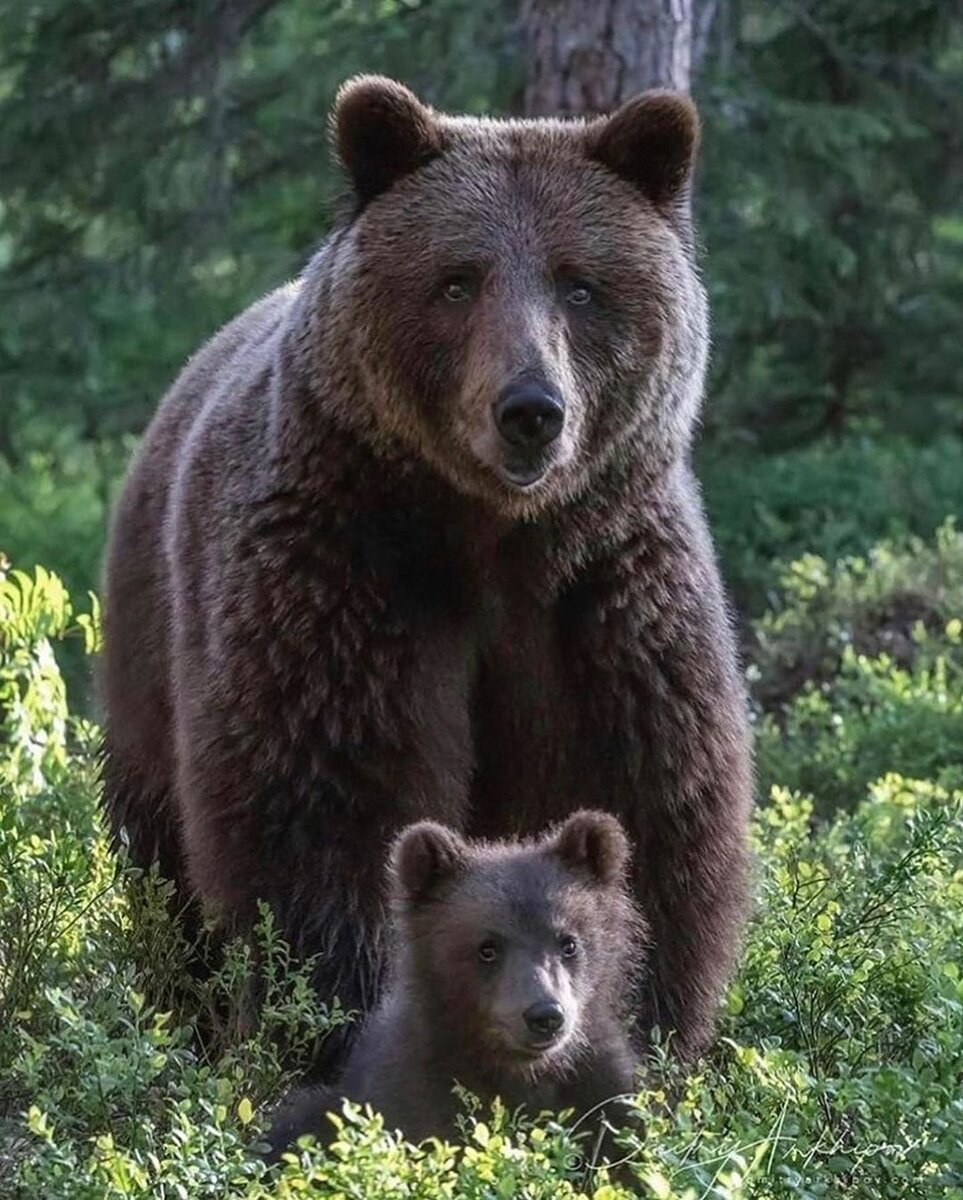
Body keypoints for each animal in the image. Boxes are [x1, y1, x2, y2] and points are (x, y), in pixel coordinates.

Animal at [100, 74, 753, 1067]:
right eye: (457, 279)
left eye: (579, 283)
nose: (530, 409)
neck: (492, 535)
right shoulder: (344, 575)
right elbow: (331, 809)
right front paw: (348, 1029)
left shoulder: (604, 601)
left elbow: (638, 809)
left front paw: (640, 1034)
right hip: (150, 651)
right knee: (164, 869)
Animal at [266, 810, 643, 1160]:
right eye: (487, 948)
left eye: (569, 943)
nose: (545, 1015)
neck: (523, 1071)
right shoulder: (415, 1089)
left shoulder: (602, 1086)